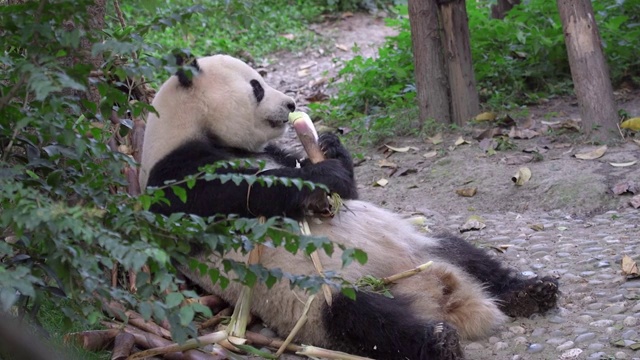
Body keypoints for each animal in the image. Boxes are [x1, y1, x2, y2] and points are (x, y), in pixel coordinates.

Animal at [139, 54, 556, 360]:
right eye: (256, 86)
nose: (291, 104)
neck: (191, 129)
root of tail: (440, 296)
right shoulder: (168, 177)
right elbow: (222, 195)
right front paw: (322, 174)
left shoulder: (271, 151)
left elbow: (347, 191)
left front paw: (330, 147)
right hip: (315, 296)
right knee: (364, 320)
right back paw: (438, 340)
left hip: (419, 245)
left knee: (466, 253)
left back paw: (532, 291)